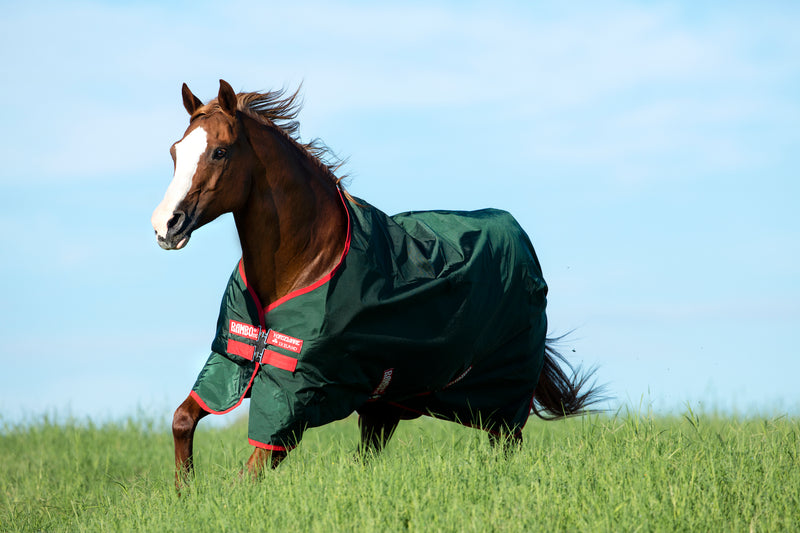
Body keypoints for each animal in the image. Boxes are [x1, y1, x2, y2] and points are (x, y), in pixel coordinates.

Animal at [152, 80, 600, 487]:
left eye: (220, 151)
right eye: (175, 151)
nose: (165, 225)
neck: (308, 260)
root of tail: (519, 236)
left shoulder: (299, 390)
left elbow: (252, 471)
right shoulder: (232, 360)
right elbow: (183, 419)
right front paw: (184, 494)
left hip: (500, 400)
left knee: (507, 445)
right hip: (387, 406)